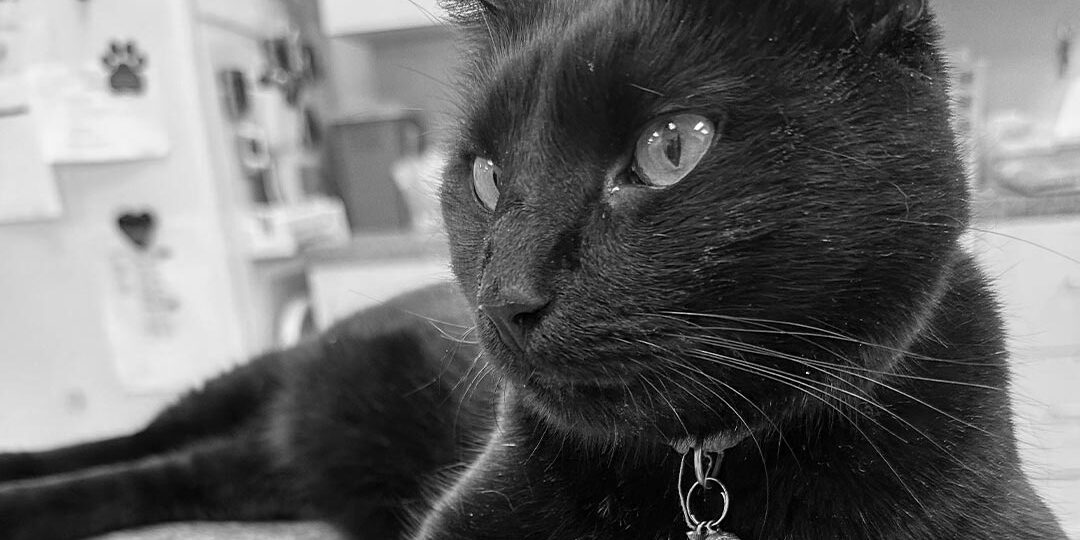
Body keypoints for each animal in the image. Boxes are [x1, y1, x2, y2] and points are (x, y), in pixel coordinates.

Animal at [0, 1, 1067, 540]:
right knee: (133, 440)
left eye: (673, 147)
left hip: (271, 466)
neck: (701, 473)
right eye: (483, 175)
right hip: (251, 387)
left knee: (165, 479)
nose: (502, 295)